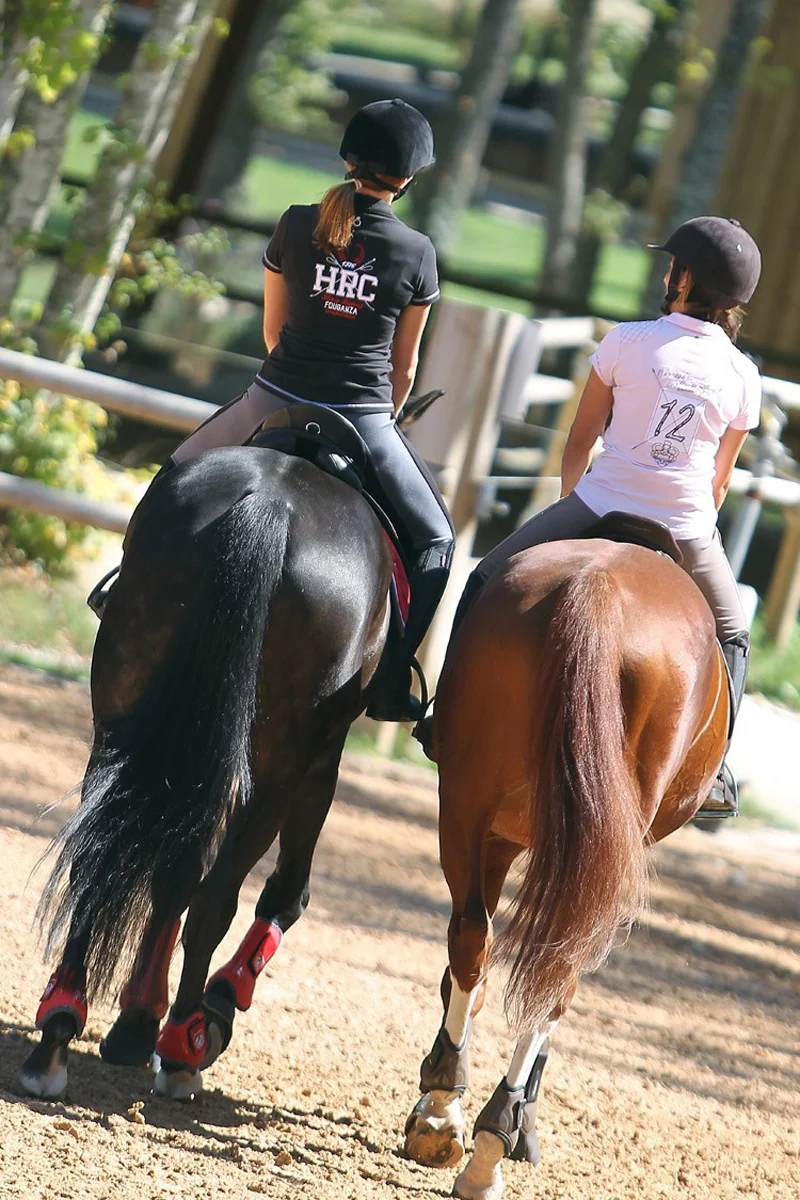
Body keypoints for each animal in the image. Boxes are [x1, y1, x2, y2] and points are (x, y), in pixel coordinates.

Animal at [21, 408, 412, 1099]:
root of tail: (270, 504)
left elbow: (168, 868)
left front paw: (135, 1020)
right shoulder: (322, 758)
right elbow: (282, 891)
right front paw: (213, 1004)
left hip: (123, 705)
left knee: (108, 854)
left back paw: (61, 1029)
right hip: (280, 760)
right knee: (216, 895)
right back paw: (184, 1043)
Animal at [402, 540, 729, 1200]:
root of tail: (596, 589)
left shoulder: (505, 835)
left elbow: (471, 973)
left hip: (468, 804)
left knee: (476, 943)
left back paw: (452, 1120)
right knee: (551, 968)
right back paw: (483, 1136)